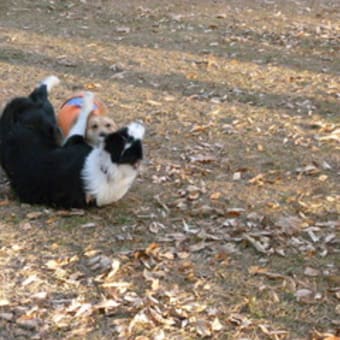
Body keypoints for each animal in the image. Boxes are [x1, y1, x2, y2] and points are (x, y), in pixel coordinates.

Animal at [0, 76, 145, 209]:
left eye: (129, 136)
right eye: (125, 133)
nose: (140, 122)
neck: (108, 169)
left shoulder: (74, 139)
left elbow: (83, 117)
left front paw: (88, 98)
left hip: (35, 114)